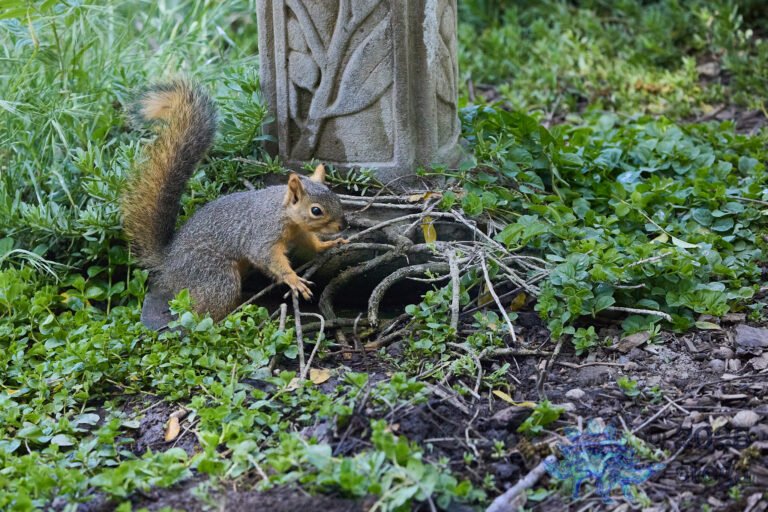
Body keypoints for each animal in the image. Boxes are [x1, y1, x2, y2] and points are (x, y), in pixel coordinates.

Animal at [121, 79, 348, 321]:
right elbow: (268, 258)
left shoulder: (300, 232)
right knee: (202, 312)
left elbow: (311, 243)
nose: (344, 225)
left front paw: (329, 243)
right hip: (214, 275)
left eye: (335, 196)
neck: (282, 212)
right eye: (316, 210)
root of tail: (168, 262)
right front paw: (293, 279)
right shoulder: (263, 235)